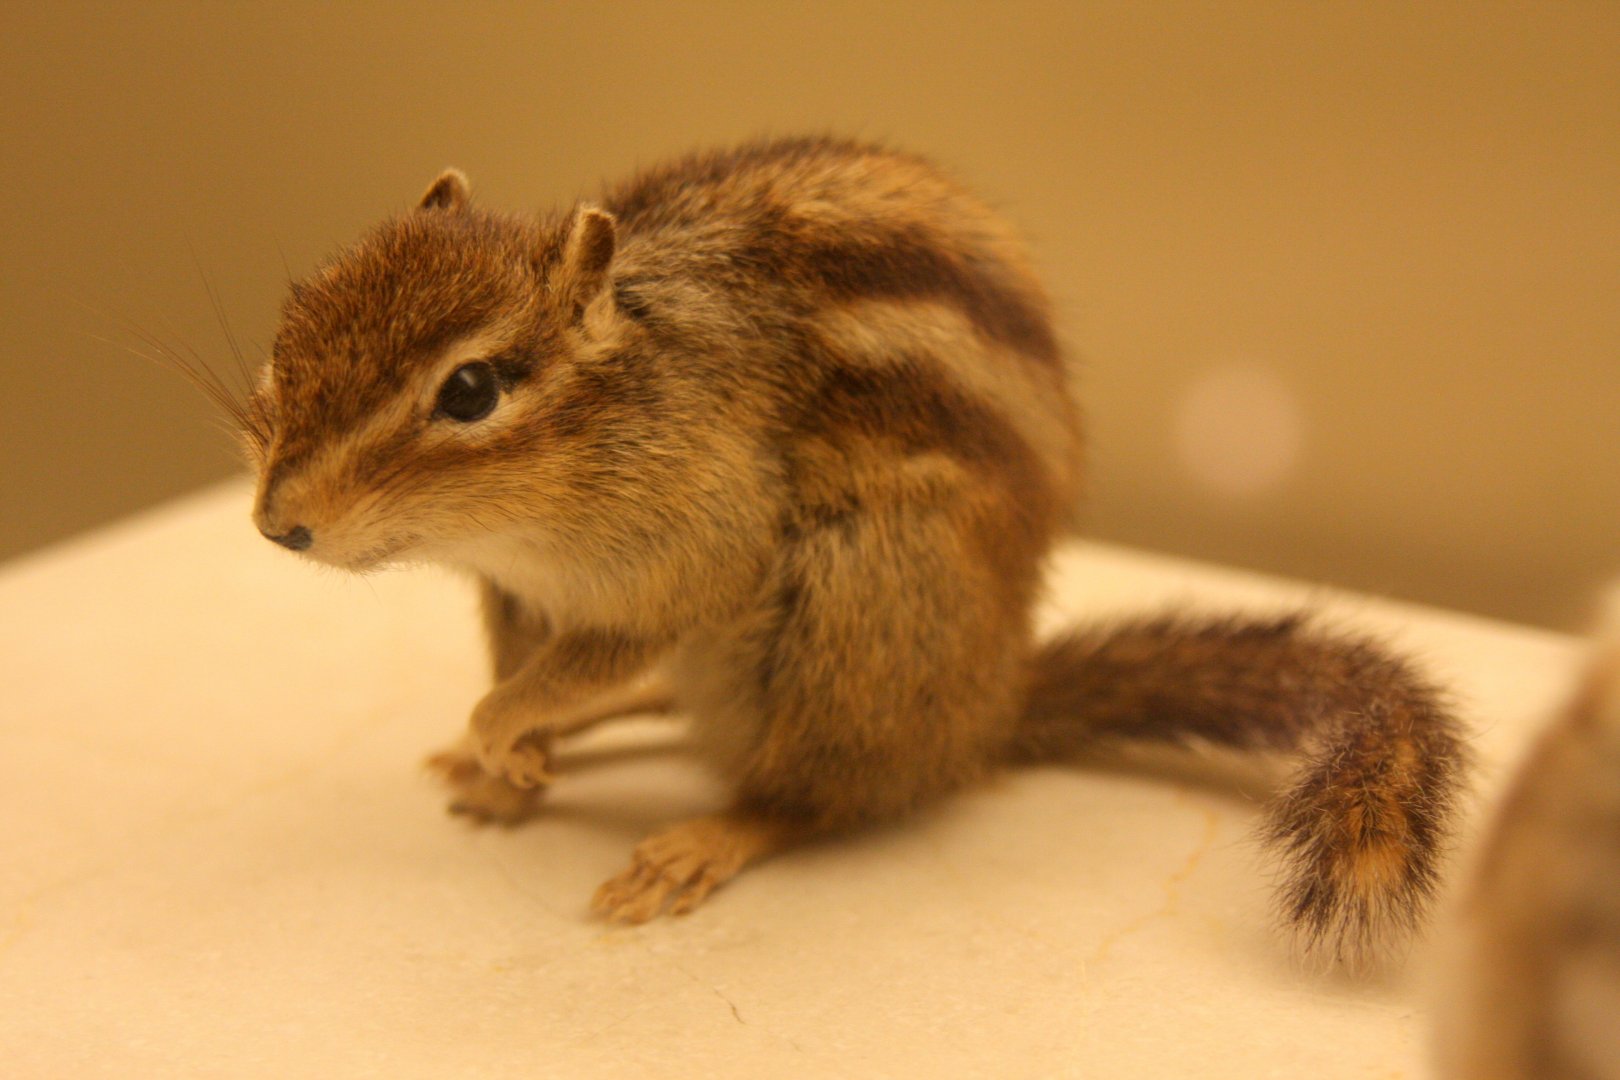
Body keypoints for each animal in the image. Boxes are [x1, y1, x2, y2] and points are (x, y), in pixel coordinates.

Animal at [243, 135, 1467, 969]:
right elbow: (522, 667)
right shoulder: (511, 590)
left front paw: (506, 735)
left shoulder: (698, 552)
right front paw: (509, 763)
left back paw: (708, 834)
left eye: (470, 390)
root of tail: (986, 713)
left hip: (852, 617)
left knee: (825, 795)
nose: (276, 520)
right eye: (294, 322)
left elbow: (568, 665)